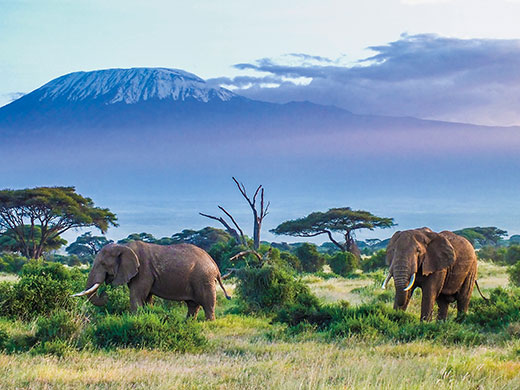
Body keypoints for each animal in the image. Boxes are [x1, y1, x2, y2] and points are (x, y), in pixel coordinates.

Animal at [72, 241, 231, 320]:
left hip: (204, 278)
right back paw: (188, 323)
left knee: (207, 303)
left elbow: (137, 296)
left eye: (103, 264)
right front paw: (146, 315)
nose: (105, 294)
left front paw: (134, 320)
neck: (123, 246)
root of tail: (215, 265)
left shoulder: (143, 271)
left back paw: (208, 323)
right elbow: (147, 298)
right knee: (192, 305)